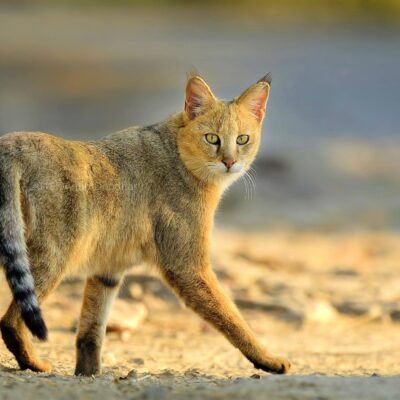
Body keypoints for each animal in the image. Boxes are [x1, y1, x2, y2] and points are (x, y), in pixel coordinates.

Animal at [0, 73, 290, 376]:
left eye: (243, 139)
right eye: (212, 138)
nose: (230, 162)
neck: (177, 153)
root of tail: (9, 144)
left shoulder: (108, 268)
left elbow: (91, 332)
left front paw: (88, 374)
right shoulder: (188, 267)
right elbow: (232, 318)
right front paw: (268, 359)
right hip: (52, 259)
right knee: (10, 321)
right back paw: (33, 363)